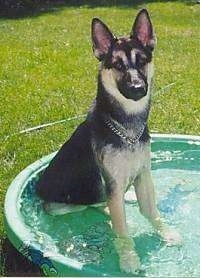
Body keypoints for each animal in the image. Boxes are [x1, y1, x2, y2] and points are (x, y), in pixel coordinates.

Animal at [36, 8, 181, 274]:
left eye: (142, 61)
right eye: (117, 65)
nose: (138, 88)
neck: (127, 129)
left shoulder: (144, 175)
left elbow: (153, 212)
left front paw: (165, 232)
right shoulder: (112, 181)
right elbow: (123, 232)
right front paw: (129, 259)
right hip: (62, 204)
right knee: (96, 203)